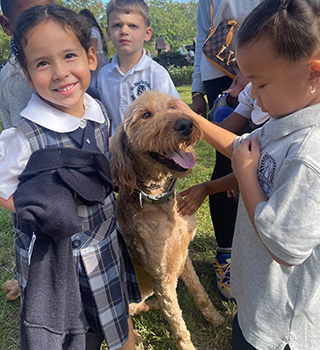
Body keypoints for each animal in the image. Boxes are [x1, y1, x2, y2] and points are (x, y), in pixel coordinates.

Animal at [111, 89, 224, 350]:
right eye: (145, 115)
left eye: (173, 107)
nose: (186, 124)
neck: (160, 202)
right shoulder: (163, 279)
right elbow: (179, 326)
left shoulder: (184, 257)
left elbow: (200, 293)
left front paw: (215, 318)